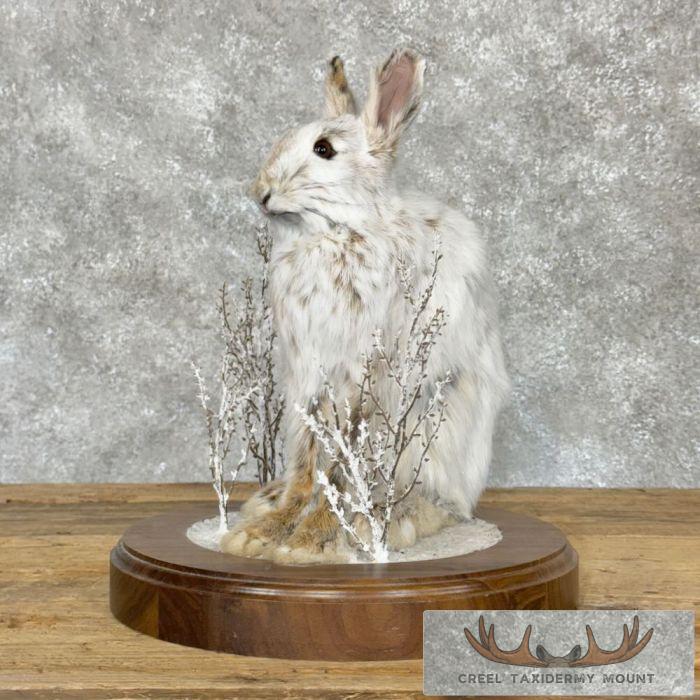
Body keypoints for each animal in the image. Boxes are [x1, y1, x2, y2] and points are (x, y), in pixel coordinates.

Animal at [221, 49, 509, 564]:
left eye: (324, 149)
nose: (260, 192)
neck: (335, 234)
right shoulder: (308, 379)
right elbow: (308, 464)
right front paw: (261, 534)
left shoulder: (364, 380)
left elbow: (340, 467)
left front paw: (309, 542)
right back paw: (267, 500)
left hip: (433, 432)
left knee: (429, 500)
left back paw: (387, 520)